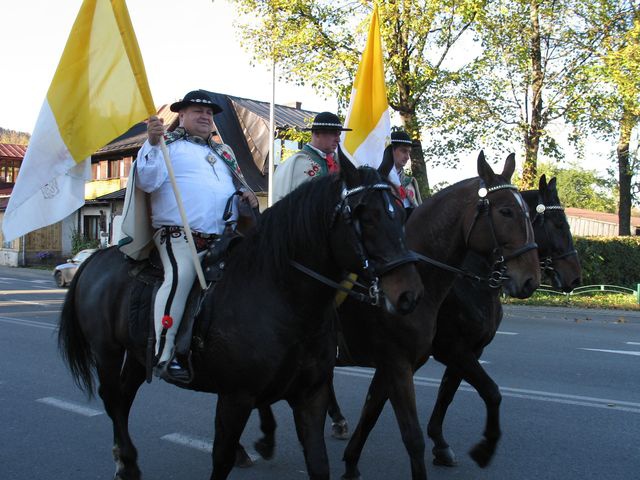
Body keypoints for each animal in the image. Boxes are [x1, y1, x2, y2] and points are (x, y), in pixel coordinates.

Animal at [57, 158, 422, 480]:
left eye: (399, 213)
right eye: (365, 216)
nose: (409, 295)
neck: (280, 295)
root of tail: (94, 259)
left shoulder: (310, 395)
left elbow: (319, 464)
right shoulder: (236, 397)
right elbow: (221, 460)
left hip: (137, 355)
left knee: (124, 396)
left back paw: (126, 459)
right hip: (107, 351)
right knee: (112, 398)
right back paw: (128, 463)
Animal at [428, 174, 584, 466]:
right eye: (559, 224)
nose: (576, 277)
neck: (468, 280)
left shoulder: (470, 350)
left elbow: (447, 392)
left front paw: (439, 443)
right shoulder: (452, 347)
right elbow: (484, 390)